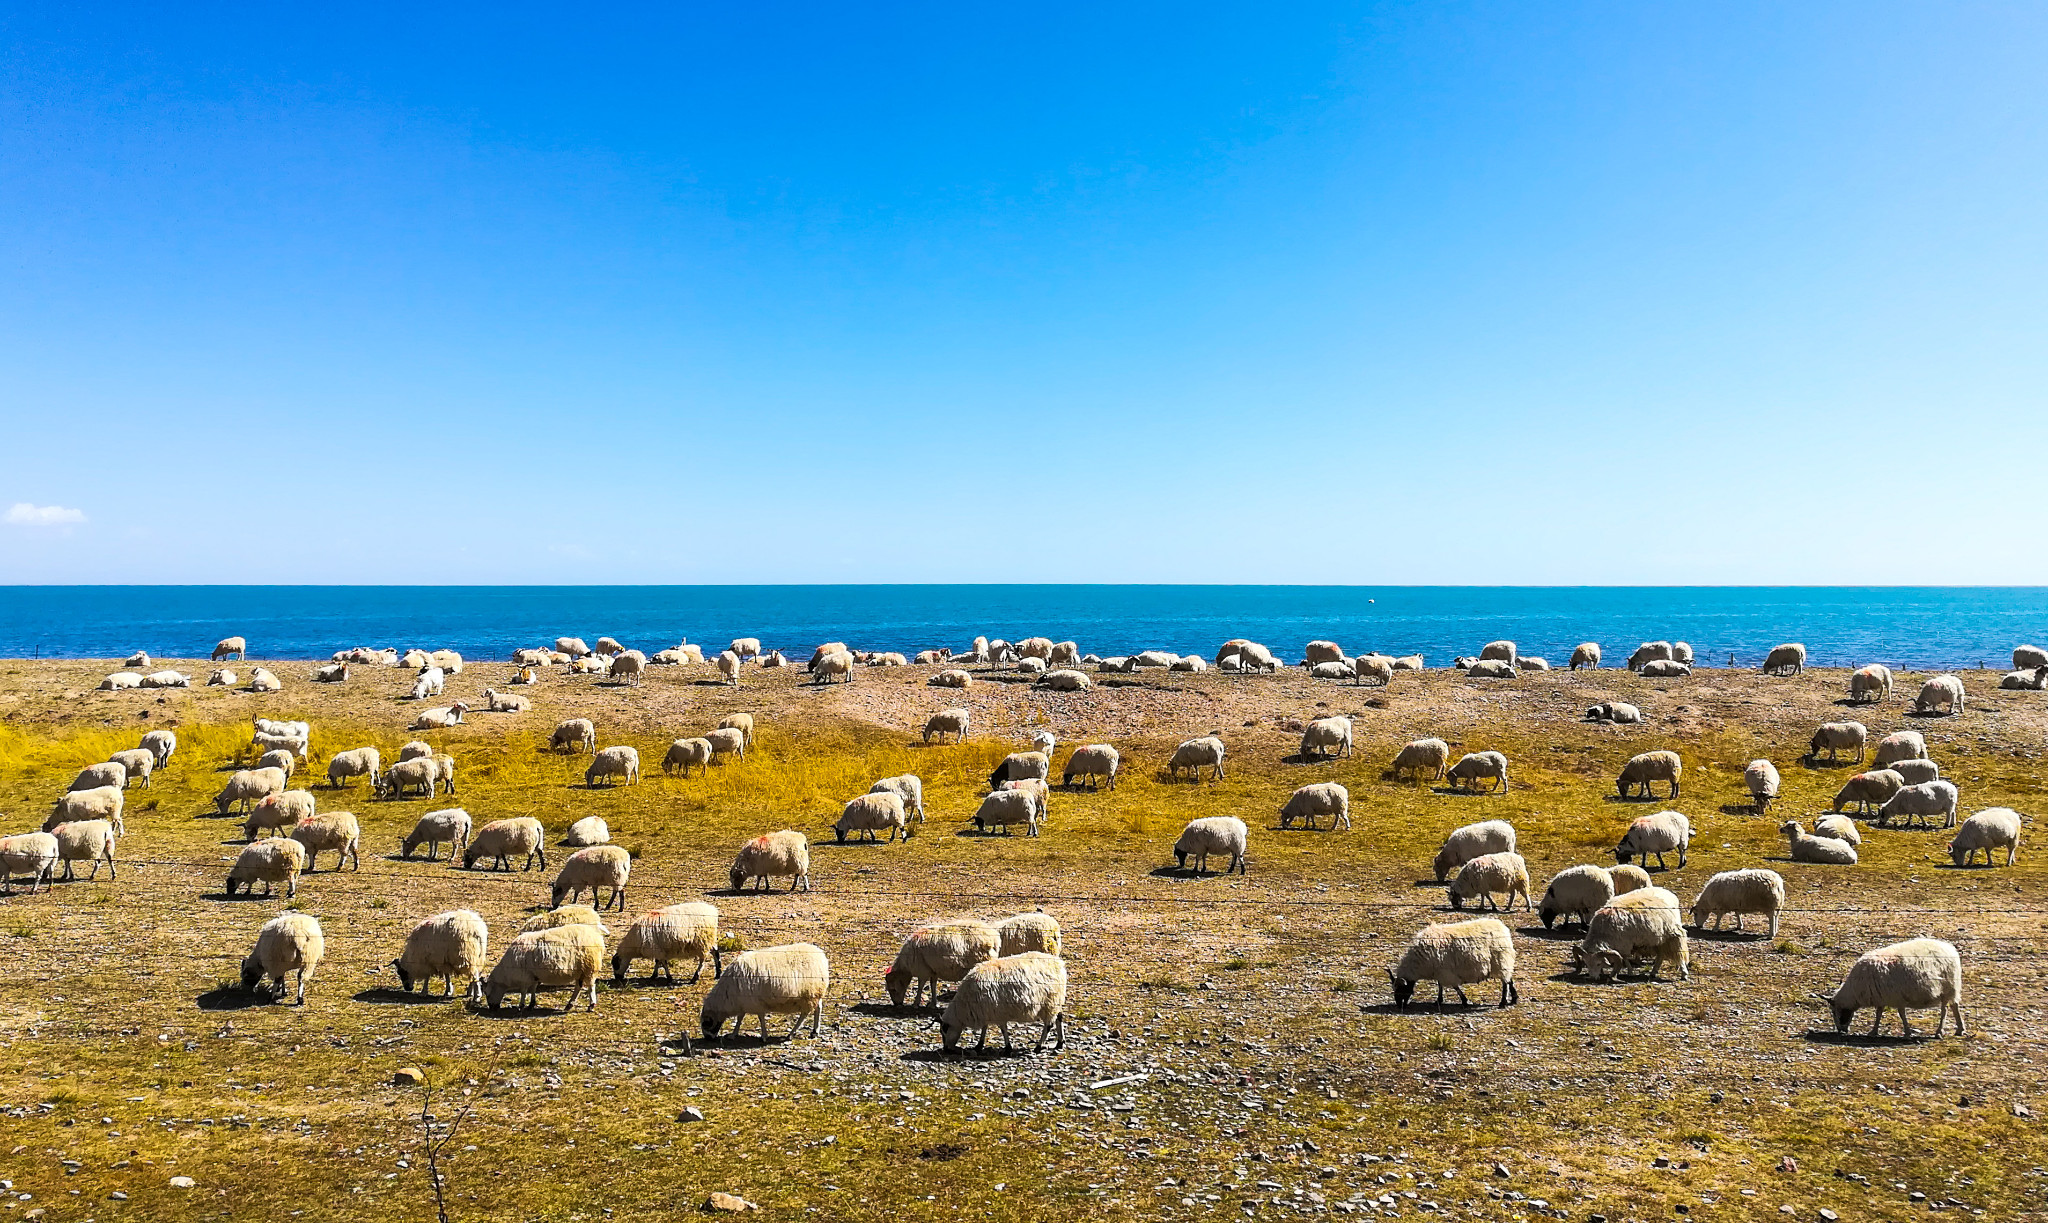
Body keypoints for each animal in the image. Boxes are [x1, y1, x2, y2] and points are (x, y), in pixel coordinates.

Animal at [1384, 909, 1515, 1007]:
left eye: (1401, 990)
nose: (1399, 1006)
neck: (1418, 963)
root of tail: (1502, 927)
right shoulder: (1439, 971)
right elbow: (1440, 985)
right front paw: (1439, 1000)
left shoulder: (1445, 972)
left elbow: (1454, 986)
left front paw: (1464, 1000)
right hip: (1503, 960)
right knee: (1509, 978)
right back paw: (1514, 998)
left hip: (1500, 960)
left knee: (1505, 982)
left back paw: (1503, 1002)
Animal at [1826, 938, 1966, 1036]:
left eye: (1834, 1012)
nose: (1841, 1031)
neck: (1855, 991)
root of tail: (1950, 948)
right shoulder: (1881, 996)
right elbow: (1879, 1013)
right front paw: (1874, 1031)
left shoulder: (1896, 997)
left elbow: (1901, 1014)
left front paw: (1907, 1032)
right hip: (1952, 988)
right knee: (1954, 1005)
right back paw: (1960, 1029)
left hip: (1948, 987)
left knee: (1945, 1010)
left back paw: (1939, 1032)